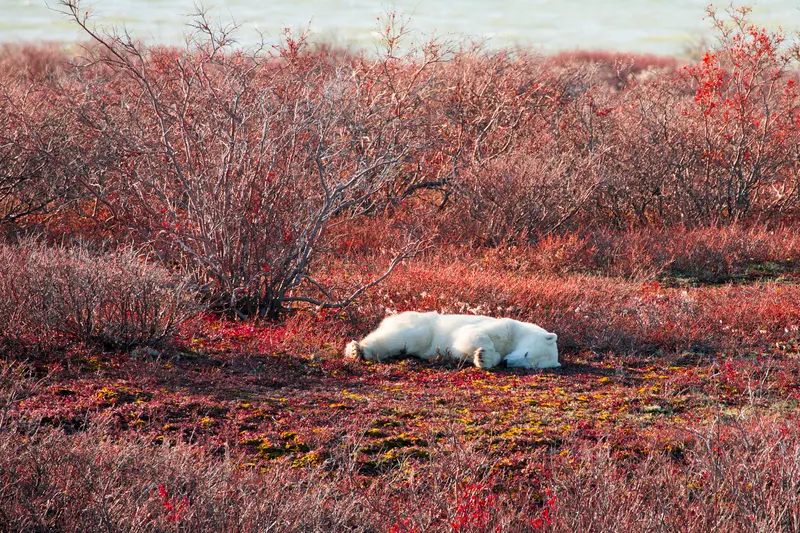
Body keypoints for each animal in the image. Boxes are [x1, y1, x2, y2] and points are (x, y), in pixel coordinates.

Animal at [344, 311, 560, 369]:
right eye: (527, 353)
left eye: (529, 365)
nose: (508, 363)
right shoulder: (505, 327)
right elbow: (472, 334)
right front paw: (485, 351)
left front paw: (483, 358)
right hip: (421, 327)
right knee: (399, 338)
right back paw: (356, 350)